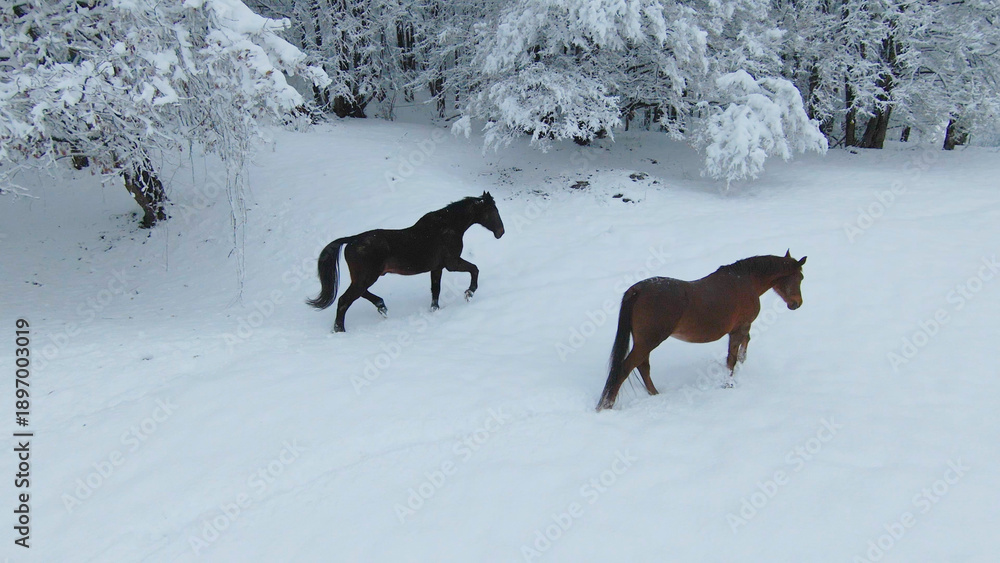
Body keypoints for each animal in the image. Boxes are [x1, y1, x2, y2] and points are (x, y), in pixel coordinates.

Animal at [307, 192, 505, 332]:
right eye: (493, 211)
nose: (501, 232)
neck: (449, 226)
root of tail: (352, 240)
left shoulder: (437, 268)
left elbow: (436, 290)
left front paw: (434, 310)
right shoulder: (452, 263)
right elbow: (474, 269)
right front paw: (469, 292)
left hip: (364, 278)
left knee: (359, 294)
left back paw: (381, 306)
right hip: (366, 277)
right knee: (344, 300)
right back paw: (340, 329)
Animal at [596, 251, 807, 411]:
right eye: (800, 277)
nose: (796, 303)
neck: (745, 281)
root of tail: (637, 290)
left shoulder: (740, 329)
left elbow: (742, 347)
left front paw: (740, 364)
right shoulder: (740, 327)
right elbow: (732, 357)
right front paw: (729, 383)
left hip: (644, 342)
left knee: (643, 367)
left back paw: (654, 394)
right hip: (649, 341)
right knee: (626, 368)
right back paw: (607, 405)